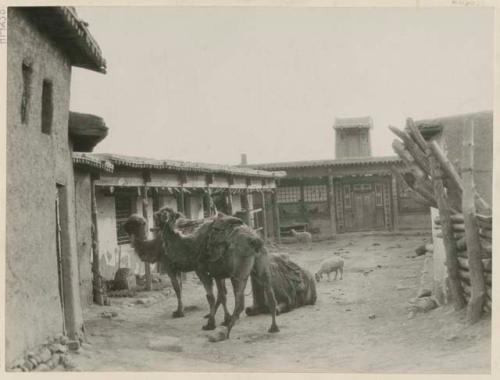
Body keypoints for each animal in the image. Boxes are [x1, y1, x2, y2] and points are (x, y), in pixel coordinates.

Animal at [156, 206, 280, 340]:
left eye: (160, 214)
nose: (154, 215)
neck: (189, 246)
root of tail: (254, 240)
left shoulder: (200, 270)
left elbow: (211, 297)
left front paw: (210, 324)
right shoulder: (218, 274)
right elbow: (222, 295)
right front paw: (224, 319)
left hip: (238, 272)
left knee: (240, 302)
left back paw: (225, 333)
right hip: (261, 266)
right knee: (270, 295)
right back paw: (273, 327)